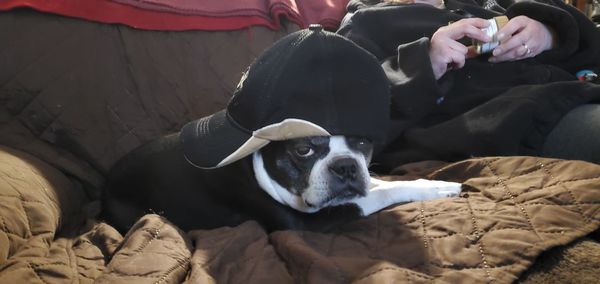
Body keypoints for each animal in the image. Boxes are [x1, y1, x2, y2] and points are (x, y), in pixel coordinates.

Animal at [103, 133, 462, 233]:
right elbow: (379, 193)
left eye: (363, 142)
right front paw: (433, 188)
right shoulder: (305, 223)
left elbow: (374, 183)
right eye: (303, 150)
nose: (346, 166)